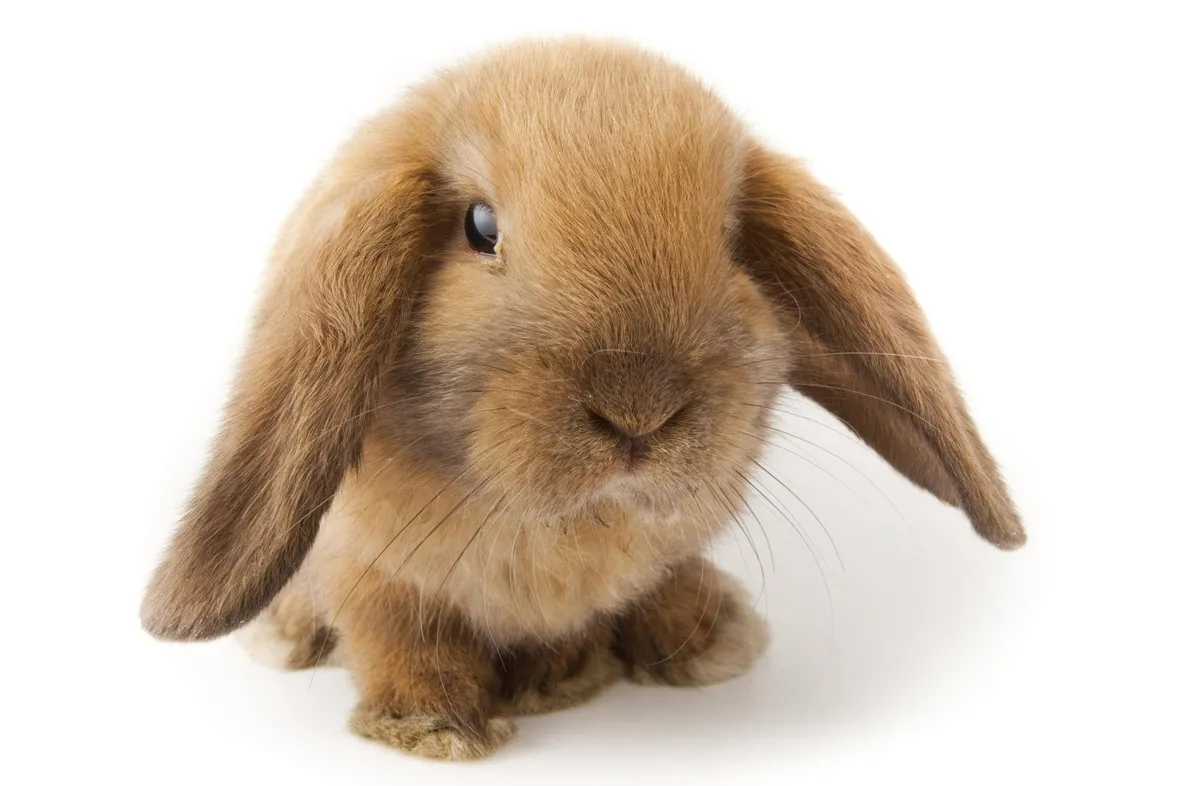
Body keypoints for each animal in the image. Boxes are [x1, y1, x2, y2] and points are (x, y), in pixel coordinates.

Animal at [140, 38, 1025, 761]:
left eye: (732, 239)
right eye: (481, 226)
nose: (639, 411)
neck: (560, 524)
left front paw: (612, 662)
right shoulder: (367, 567)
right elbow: (399, 632)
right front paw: (434, 725)